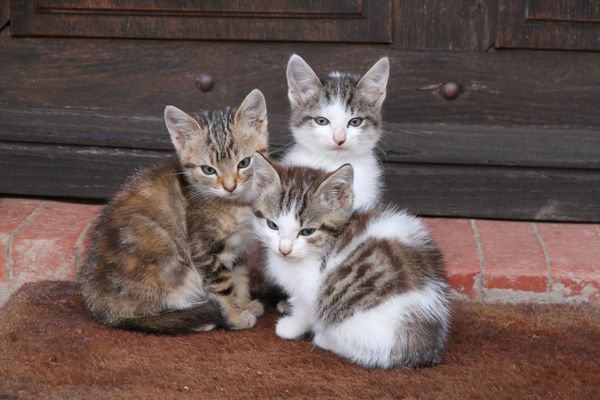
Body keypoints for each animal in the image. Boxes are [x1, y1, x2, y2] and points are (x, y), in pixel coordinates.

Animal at [79, 90, 268, 334]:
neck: (237, 203)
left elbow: (240, 276)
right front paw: (235, 317)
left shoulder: (237, 246)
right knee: (145, 315)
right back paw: (198, 319)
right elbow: (223, 286)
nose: (230, 186)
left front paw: (244, 304)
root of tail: (102, 311)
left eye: (244, 163)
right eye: (208, 170)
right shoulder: (204, 249)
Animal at [251, 153, 452, 368]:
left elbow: (304, 309)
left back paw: (324, 338)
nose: (284, 249)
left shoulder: (310, 287)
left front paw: (291, 327)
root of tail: (426, 346)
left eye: (307, 231)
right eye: (272, 225)